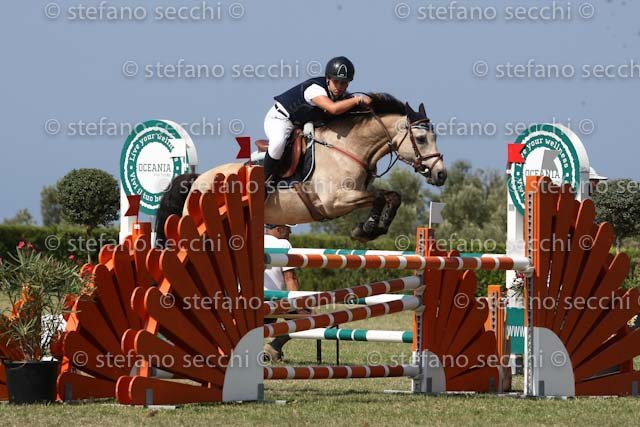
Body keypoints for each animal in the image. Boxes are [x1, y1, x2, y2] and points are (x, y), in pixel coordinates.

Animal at [155, 93, 447, 243]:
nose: (441, 174)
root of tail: (196, 179)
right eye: (421, 139)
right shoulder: (336, 201)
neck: (348, 148)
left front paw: (373, 229)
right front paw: (366, 229)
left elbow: (392, 196)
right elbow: (378, 197)